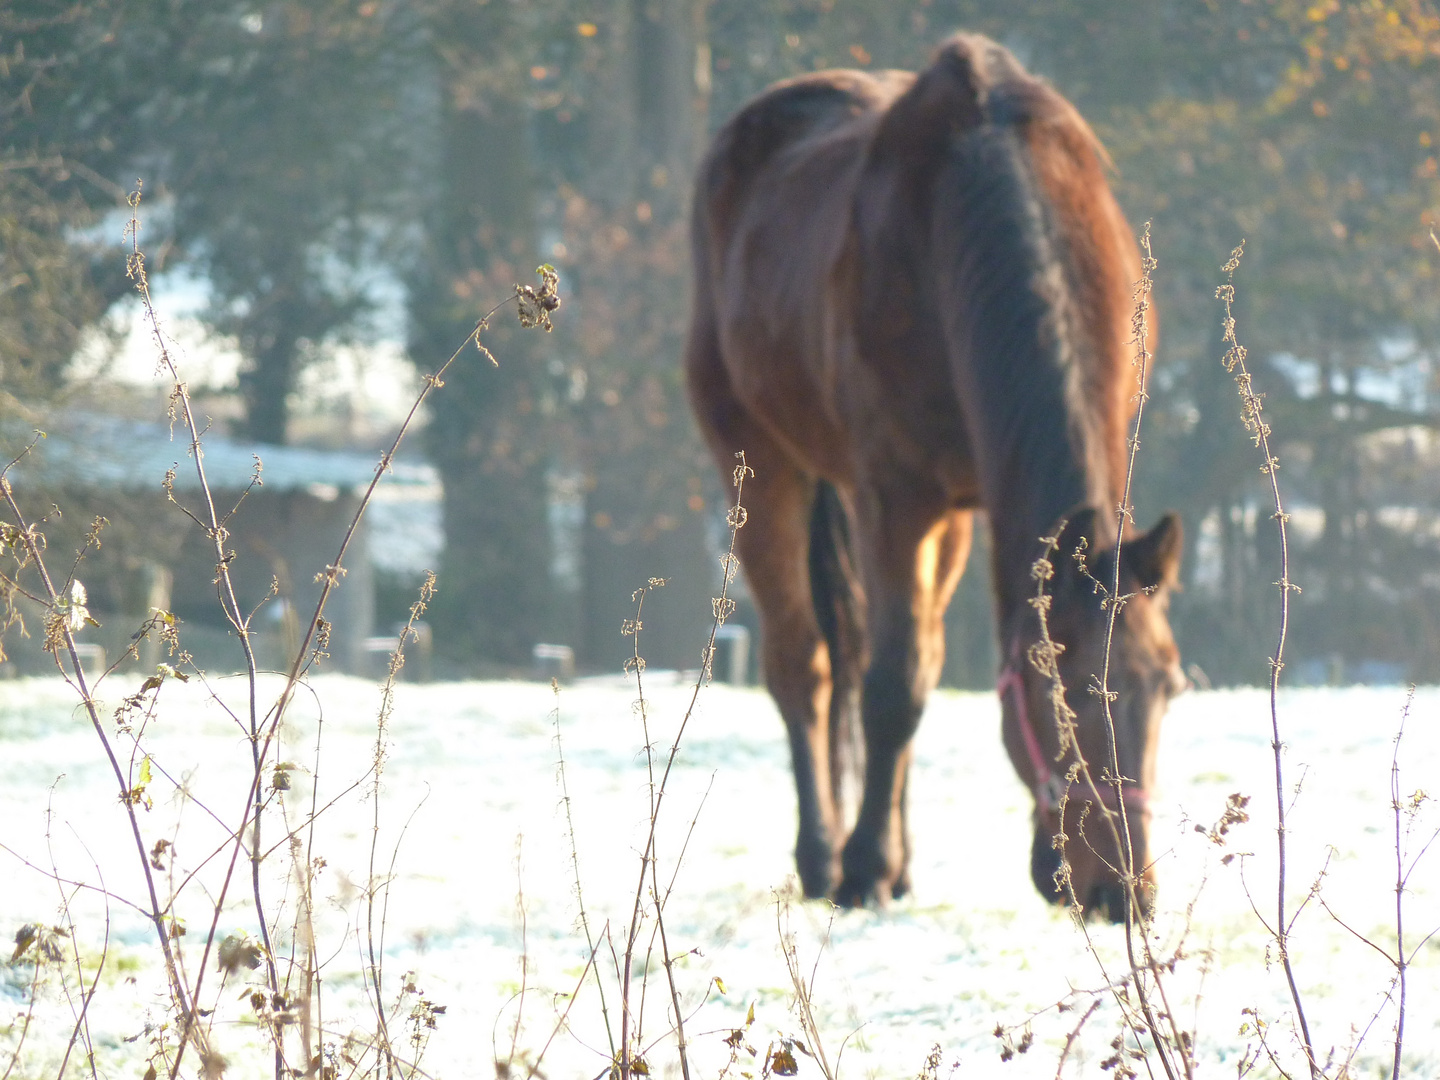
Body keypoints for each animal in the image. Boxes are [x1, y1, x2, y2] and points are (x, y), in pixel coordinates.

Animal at [691, 33, 1186, 915]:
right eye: (1059, 691)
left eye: (1167, 687)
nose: (1120, 894)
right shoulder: (896, 497)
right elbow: (892, 688)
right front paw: (863, 868)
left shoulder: (962, 504)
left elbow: (919, 669)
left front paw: (894, 859)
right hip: (759, 460)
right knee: (804, 666)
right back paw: (824, 856)